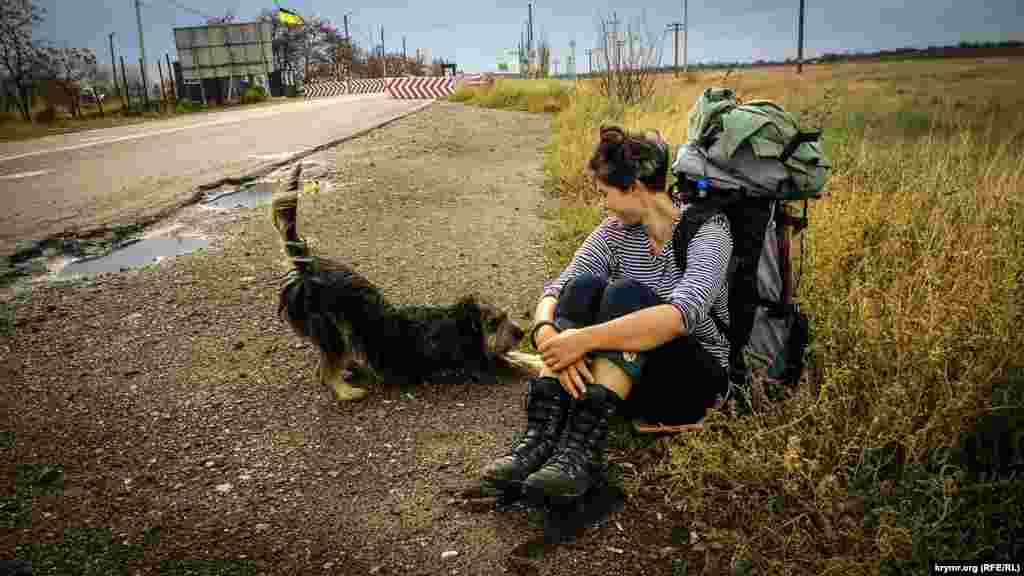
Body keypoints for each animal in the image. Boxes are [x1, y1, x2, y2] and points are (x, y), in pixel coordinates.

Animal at [272, 165, 524, 399]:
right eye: (495, 322)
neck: (459, 323)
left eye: (506, 316)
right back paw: (347, 392)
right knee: (324, 370)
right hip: (332, 330)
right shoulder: (475, 365)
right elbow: (508, 363)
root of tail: (307, 267)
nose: (521, 333)